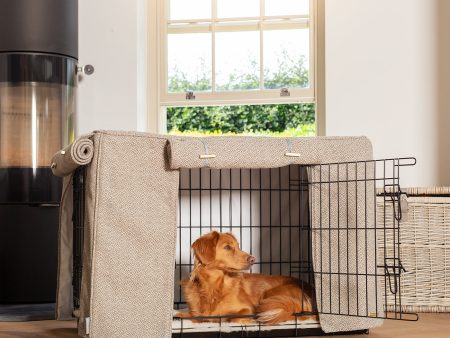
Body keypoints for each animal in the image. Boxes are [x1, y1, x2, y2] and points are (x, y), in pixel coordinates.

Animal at [176, 231, 316, 324]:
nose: (253, 259)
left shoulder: (247, 309)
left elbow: (231, 318)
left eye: (238, 246)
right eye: (227, 247)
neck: (213, 285)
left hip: (270, 296)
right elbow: (188, 315)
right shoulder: (194, 312)